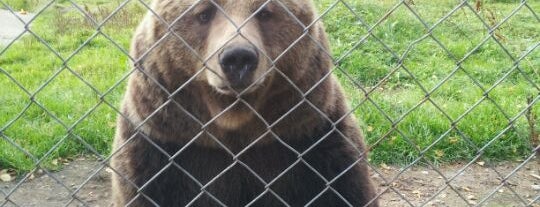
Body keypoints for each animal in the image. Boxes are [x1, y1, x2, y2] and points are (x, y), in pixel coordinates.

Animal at [111, 0, 378, 205]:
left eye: (265, 13)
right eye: (204, 13)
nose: (238, 57)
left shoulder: (315, 141)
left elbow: (346, 189)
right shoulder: (159, 149)